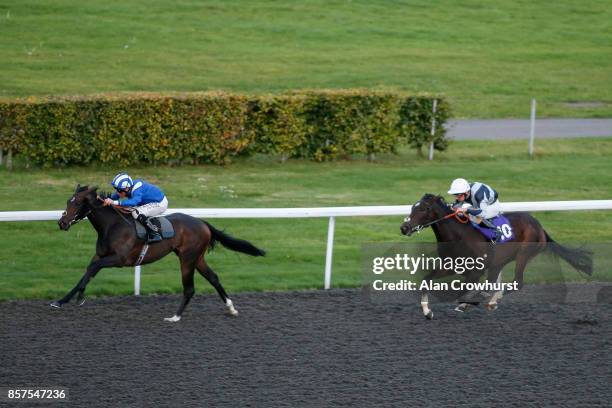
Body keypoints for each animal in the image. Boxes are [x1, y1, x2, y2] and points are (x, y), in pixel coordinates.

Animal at [56, 185, 266, 322]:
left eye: (77, 202)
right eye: (68, 201)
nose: (62, 223)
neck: (113, 226)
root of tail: (202, 223)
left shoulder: (119, 259)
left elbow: (92, 268)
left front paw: (72, 298)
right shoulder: (101, 256)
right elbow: (88, 271)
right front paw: (66, 299)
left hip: (187, 258)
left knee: (189, 288)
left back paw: (175, 317)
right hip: (197, 257)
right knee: (214, 278)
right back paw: (231, 308)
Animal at [400, 194, 592, 318]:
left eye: (424, 208)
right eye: (412, 207)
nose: (404, 228)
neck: (458, 235)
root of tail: (539, 226)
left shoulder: (475, 271)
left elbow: (464, 289)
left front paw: (466, 303)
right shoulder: (450, 267)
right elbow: (426, 280)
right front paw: (427, 311)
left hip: (524, 254)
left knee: (517, 282)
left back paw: (491, 301)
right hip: (499, 261)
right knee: (495, 281)